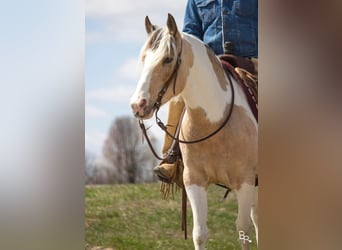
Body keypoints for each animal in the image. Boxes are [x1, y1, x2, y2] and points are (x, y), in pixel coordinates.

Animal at [130, 14, 258, 250]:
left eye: (168, 59)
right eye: (143, 59)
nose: (138, 105)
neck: (215, 120)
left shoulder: (244, 181)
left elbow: (243, 229)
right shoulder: (194, 180)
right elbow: (200, 233)